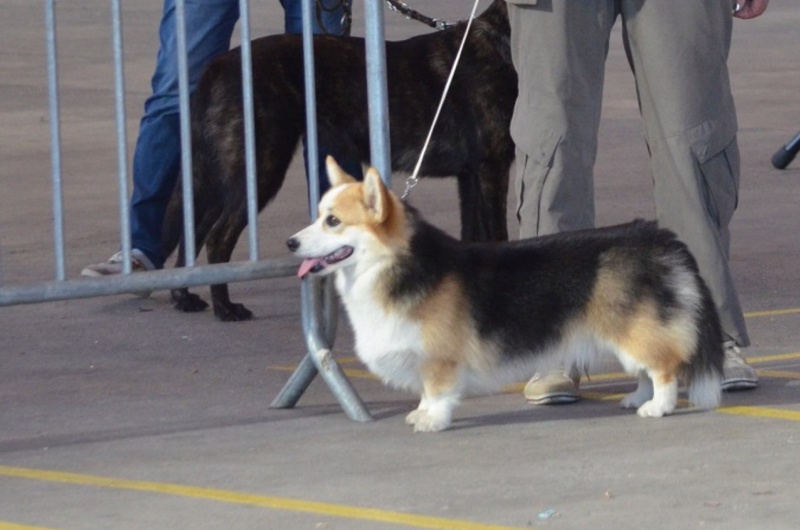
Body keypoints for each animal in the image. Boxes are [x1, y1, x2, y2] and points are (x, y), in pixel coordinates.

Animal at [163, 0, 516, 320]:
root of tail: (218, 66)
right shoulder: (492, 166)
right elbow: (498, 235)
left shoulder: (470, 176)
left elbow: (474, 237)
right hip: (260, 169)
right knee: (218, 237)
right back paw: (224, 307)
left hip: (221, 175)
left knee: (194, 230)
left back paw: (183, 296)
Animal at [288, 157, 724, 428]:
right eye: (318, 215)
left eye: (332, 221)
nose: (290, 243)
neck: (394, 264)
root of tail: (659, 238)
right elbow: (425, 392)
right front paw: (420, 413)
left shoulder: (440, 357)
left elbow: (437, 389)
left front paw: (432, 420)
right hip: (627, 331)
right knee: (647, 369)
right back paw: (638, 398)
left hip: (635, 329)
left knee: (664, 368)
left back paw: (657, 407)